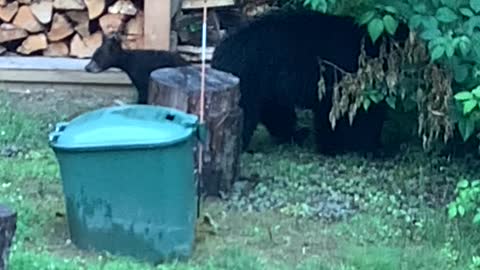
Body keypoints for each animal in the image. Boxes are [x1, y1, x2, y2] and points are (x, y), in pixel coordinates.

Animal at [211, 8, 408, 154]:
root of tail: (218, 53)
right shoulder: (336, 76)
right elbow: (332, 113)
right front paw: (336, 146)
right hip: (249, 78)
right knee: (249, 113)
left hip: (267, 86)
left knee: (277, 113)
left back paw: (296, 134)